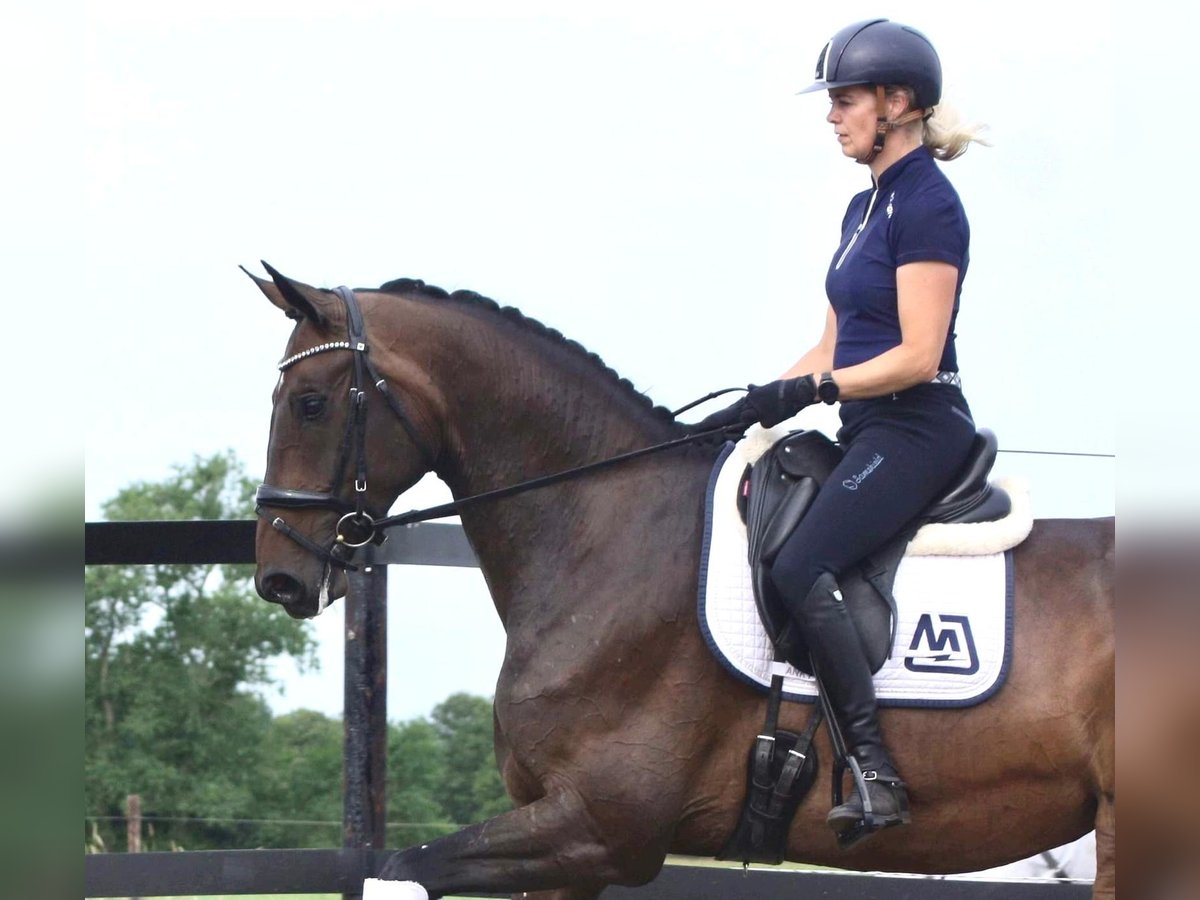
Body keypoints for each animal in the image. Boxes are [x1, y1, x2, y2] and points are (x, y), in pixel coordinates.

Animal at [248, 264, 1118, 897]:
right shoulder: (564, 839)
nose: (279, 576)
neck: (605, 531)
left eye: (311, 403)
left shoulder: (598, 828)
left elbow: (398, 871)